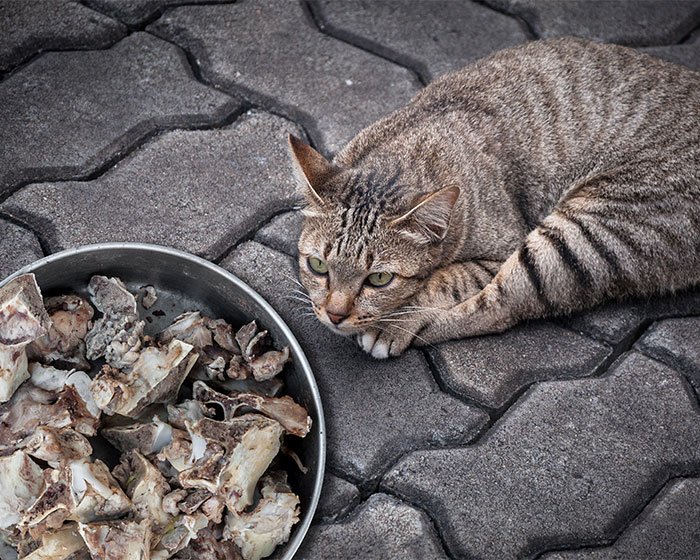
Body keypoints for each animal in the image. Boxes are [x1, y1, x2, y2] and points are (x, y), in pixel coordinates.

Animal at [288, 38, 700, 358]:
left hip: (587, 231)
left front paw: (396, 321)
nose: (335, 314)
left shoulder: (502, 246)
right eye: (318, 266)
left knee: (500, 308)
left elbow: (447, 280)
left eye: (379, 279)